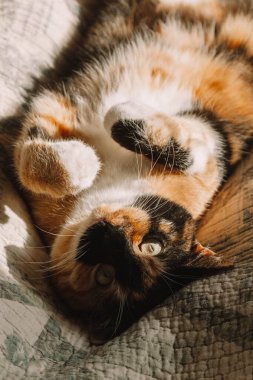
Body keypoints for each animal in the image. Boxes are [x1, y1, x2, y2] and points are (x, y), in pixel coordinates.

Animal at [13, 0, 253, 338]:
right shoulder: (57, 105)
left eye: (105, 276)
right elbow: (30, 161)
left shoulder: (221, 146)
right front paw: (85, 162)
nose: (111, 235)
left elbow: (190, 138)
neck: (112, 183)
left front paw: (113, 119)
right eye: (153, 246)